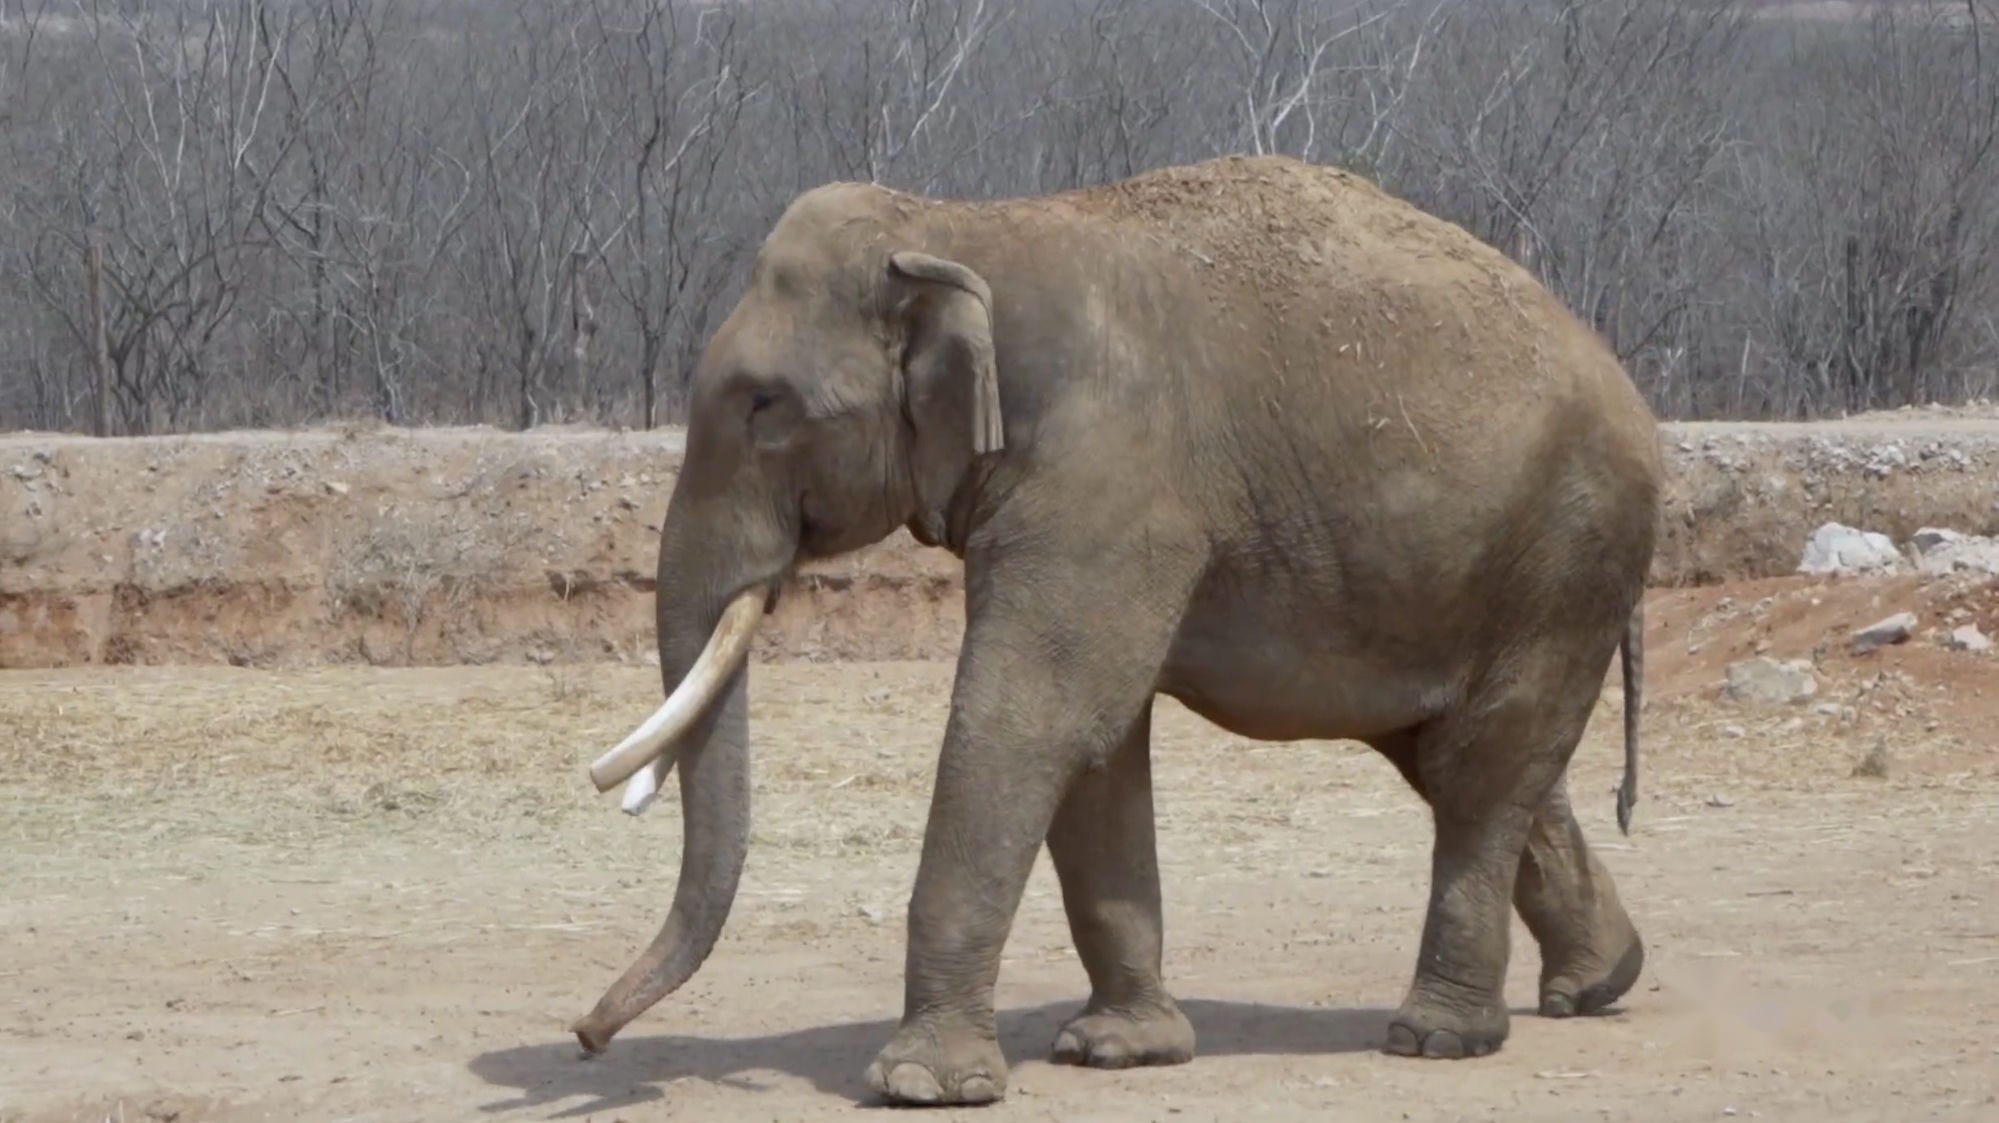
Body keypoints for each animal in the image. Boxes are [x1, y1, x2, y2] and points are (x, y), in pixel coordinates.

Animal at [568, 154, 1661, 1106]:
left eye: (764, 403)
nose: (586, 1036)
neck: (962, 227)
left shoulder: (1108, 475)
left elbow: (1032, 719)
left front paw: (922, 1084)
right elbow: (1099, 746)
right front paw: (1120, 1049)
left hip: (1569, 548)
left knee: (1482, 766)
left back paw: (1437, 1036)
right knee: (1457, 755)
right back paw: (1597, 982)